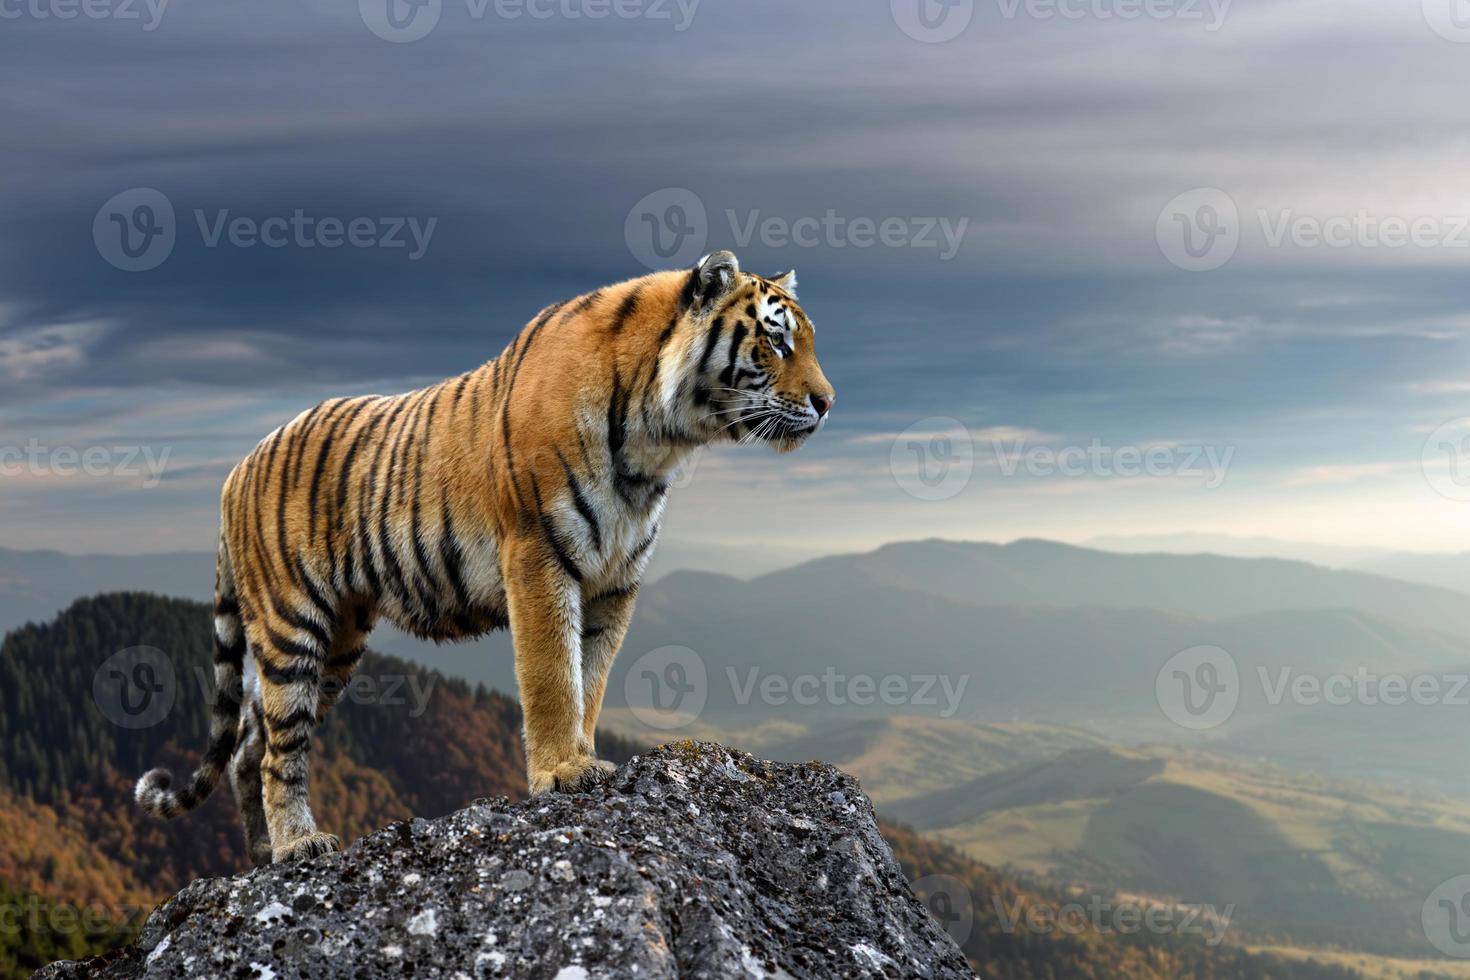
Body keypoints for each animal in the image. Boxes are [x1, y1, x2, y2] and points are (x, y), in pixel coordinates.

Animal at [138, 252, 840, 863]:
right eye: (777, 342)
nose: (829, 403)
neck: (657, 442)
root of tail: (234, 471)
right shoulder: (539, 555)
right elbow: (553, 674)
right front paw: (564, 771)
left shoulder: (616, 581)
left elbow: (592, 678)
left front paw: (583, 756)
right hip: (292, 624)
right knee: (279, 748)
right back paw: (297, 846)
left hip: (337, 641)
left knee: (249, 745)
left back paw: (261, 857)